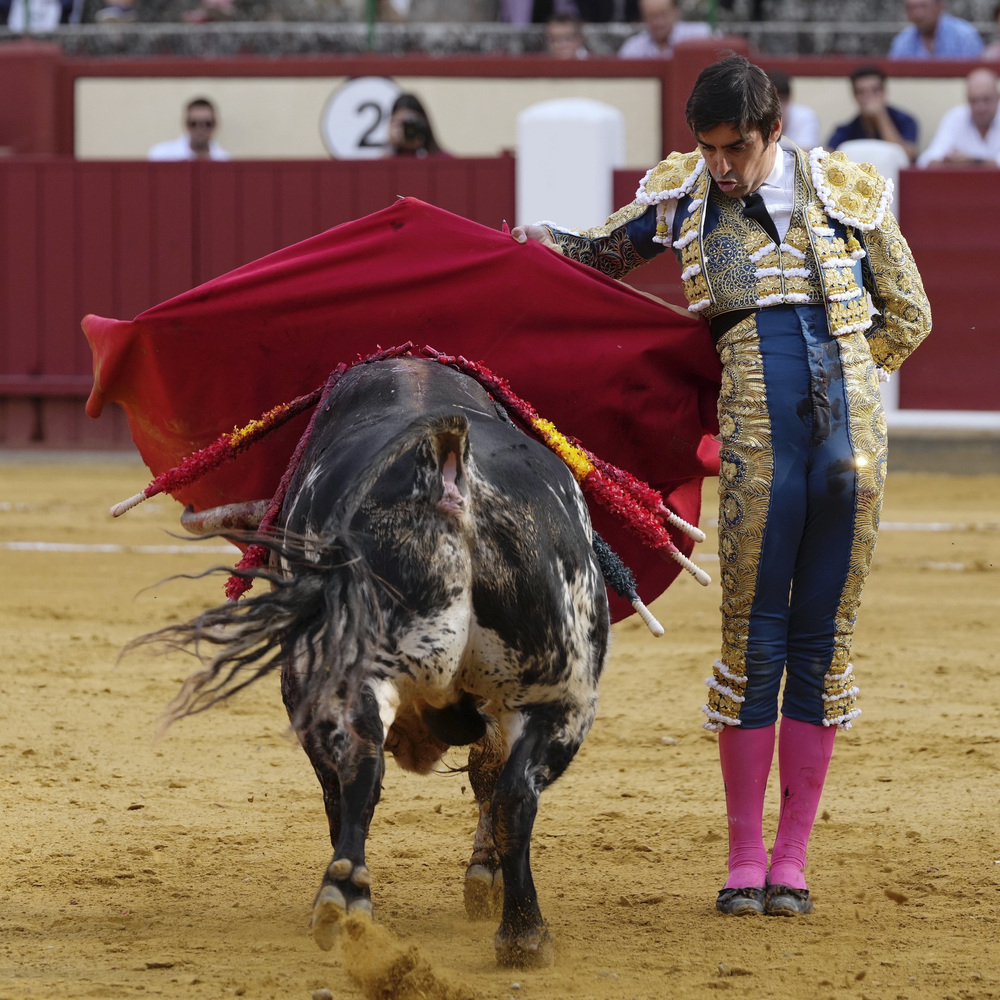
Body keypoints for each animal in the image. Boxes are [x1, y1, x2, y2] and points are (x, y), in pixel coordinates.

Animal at [140, 356, 608, 964]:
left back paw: (348, 903)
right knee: (513, 793)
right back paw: (522, 933)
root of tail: (449, 472)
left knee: (361, 769)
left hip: (340, 676)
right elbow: (487, 775)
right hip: (562, 696)